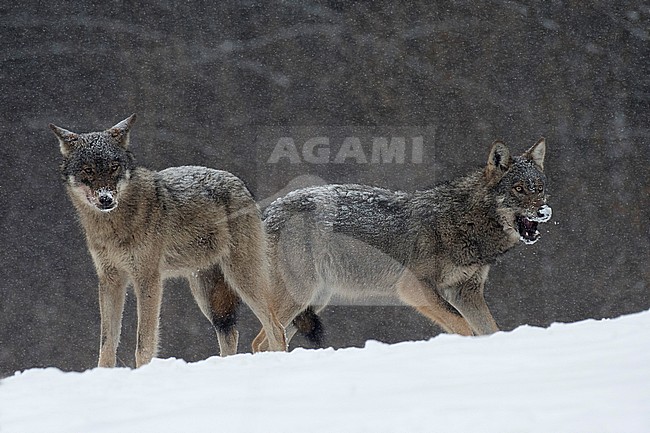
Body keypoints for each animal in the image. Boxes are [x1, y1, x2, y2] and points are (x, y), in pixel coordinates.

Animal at [50, 114, 286, 368]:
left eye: (114, 167)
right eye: (88, 169)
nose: (106, 199)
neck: (113, 225)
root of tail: (241, 184)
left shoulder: (148, 279)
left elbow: (144, 343)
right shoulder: (110, 280)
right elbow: (107, 345)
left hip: (241, 278)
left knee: (276, 329)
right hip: (206, 293)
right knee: (231, 334)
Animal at [253, 139, 551, 350]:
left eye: (539, 188)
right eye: (518, 189)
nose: (544, 211)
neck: (464, 221)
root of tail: (268, 211)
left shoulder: (467, 292)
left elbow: (491, 329)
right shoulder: (414, 288)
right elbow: (463, 327)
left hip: (314, 301)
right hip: (300, 296)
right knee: (263, 340)